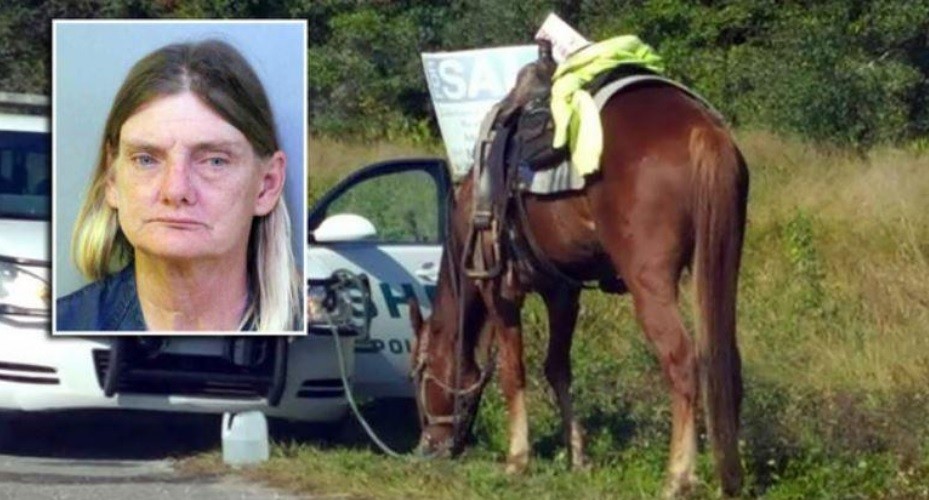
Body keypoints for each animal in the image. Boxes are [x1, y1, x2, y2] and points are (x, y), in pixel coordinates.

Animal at [409, 57, 749, 498]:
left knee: (683, 362)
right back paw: (732, 476)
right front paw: (577, 457)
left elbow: (513, 372)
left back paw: (677, 475)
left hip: (651, 285)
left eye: (419, 374)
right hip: (722, 263)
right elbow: (558, 368)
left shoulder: (498, 289)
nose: (425, 447)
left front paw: (518, 459)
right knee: (727, 361)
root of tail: (702, 129)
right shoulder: (562, 291)